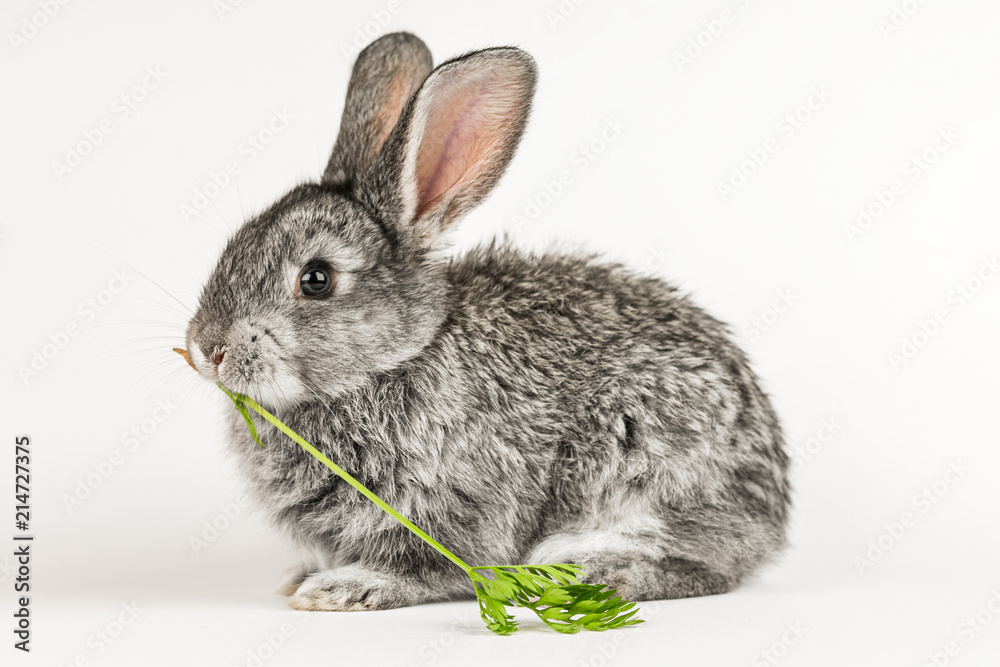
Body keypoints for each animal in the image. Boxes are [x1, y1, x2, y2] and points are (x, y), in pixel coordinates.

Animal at [182, 31, 790, 612]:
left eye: (316, 279)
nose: (207, 349)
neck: (397, 359)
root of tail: (773, 508)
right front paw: (299, 578)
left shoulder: (457, 505)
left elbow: (430, 568)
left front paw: (344, 588)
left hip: (640, 460)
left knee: (700, 565)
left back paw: (586, 568)